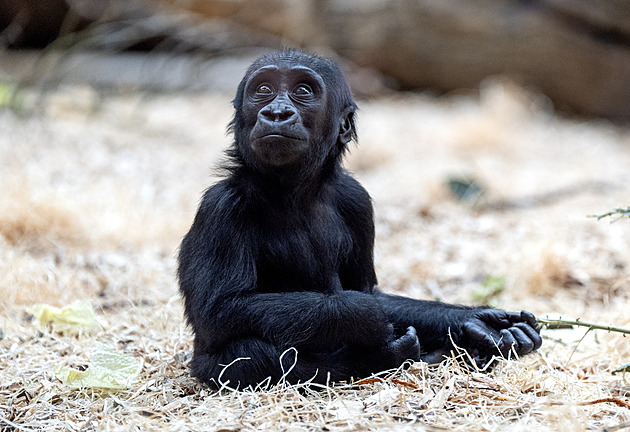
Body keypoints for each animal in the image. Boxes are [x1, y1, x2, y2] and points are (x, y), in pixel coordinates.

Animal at [179, 48, 544, 388]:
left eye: (303, 91)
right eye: (264, 89)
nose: (277, 112)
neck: (296, 190)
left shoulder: (357, 201)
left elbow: (367, 287)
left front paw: (478, 320)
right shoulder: (221, 208)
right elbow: (221, 309)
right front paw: (365, 315)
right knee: (248, 354)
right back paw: (381, 358)